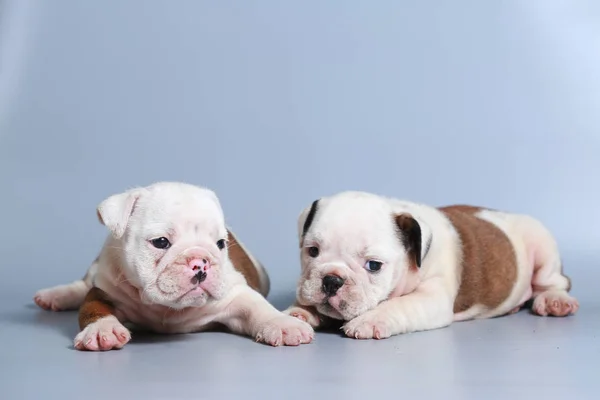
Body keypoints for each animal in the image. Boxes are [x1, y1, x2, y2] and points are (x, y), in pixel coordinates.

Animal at [34, 181, 314, 350]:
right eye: (161, 242)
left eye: (220, 243)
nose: (201, 262)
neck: (166, 309)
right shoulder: (104, 290)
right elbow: (93, 309)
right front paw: (104, 330)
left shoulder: (236, 295)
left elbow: (259, 308)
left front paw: (284, 325)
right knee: (81, 285)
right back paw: (55, 295)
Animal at [284, 192, 580, 340]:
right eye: (312, 251)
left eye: (373, 265)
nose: (332, 280)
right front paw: (300, 312)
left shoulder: (431, 298)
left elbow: (397, 305)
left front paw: (370, 320)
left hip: (542, 246)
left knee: (554, 282)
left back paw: (555, 301)